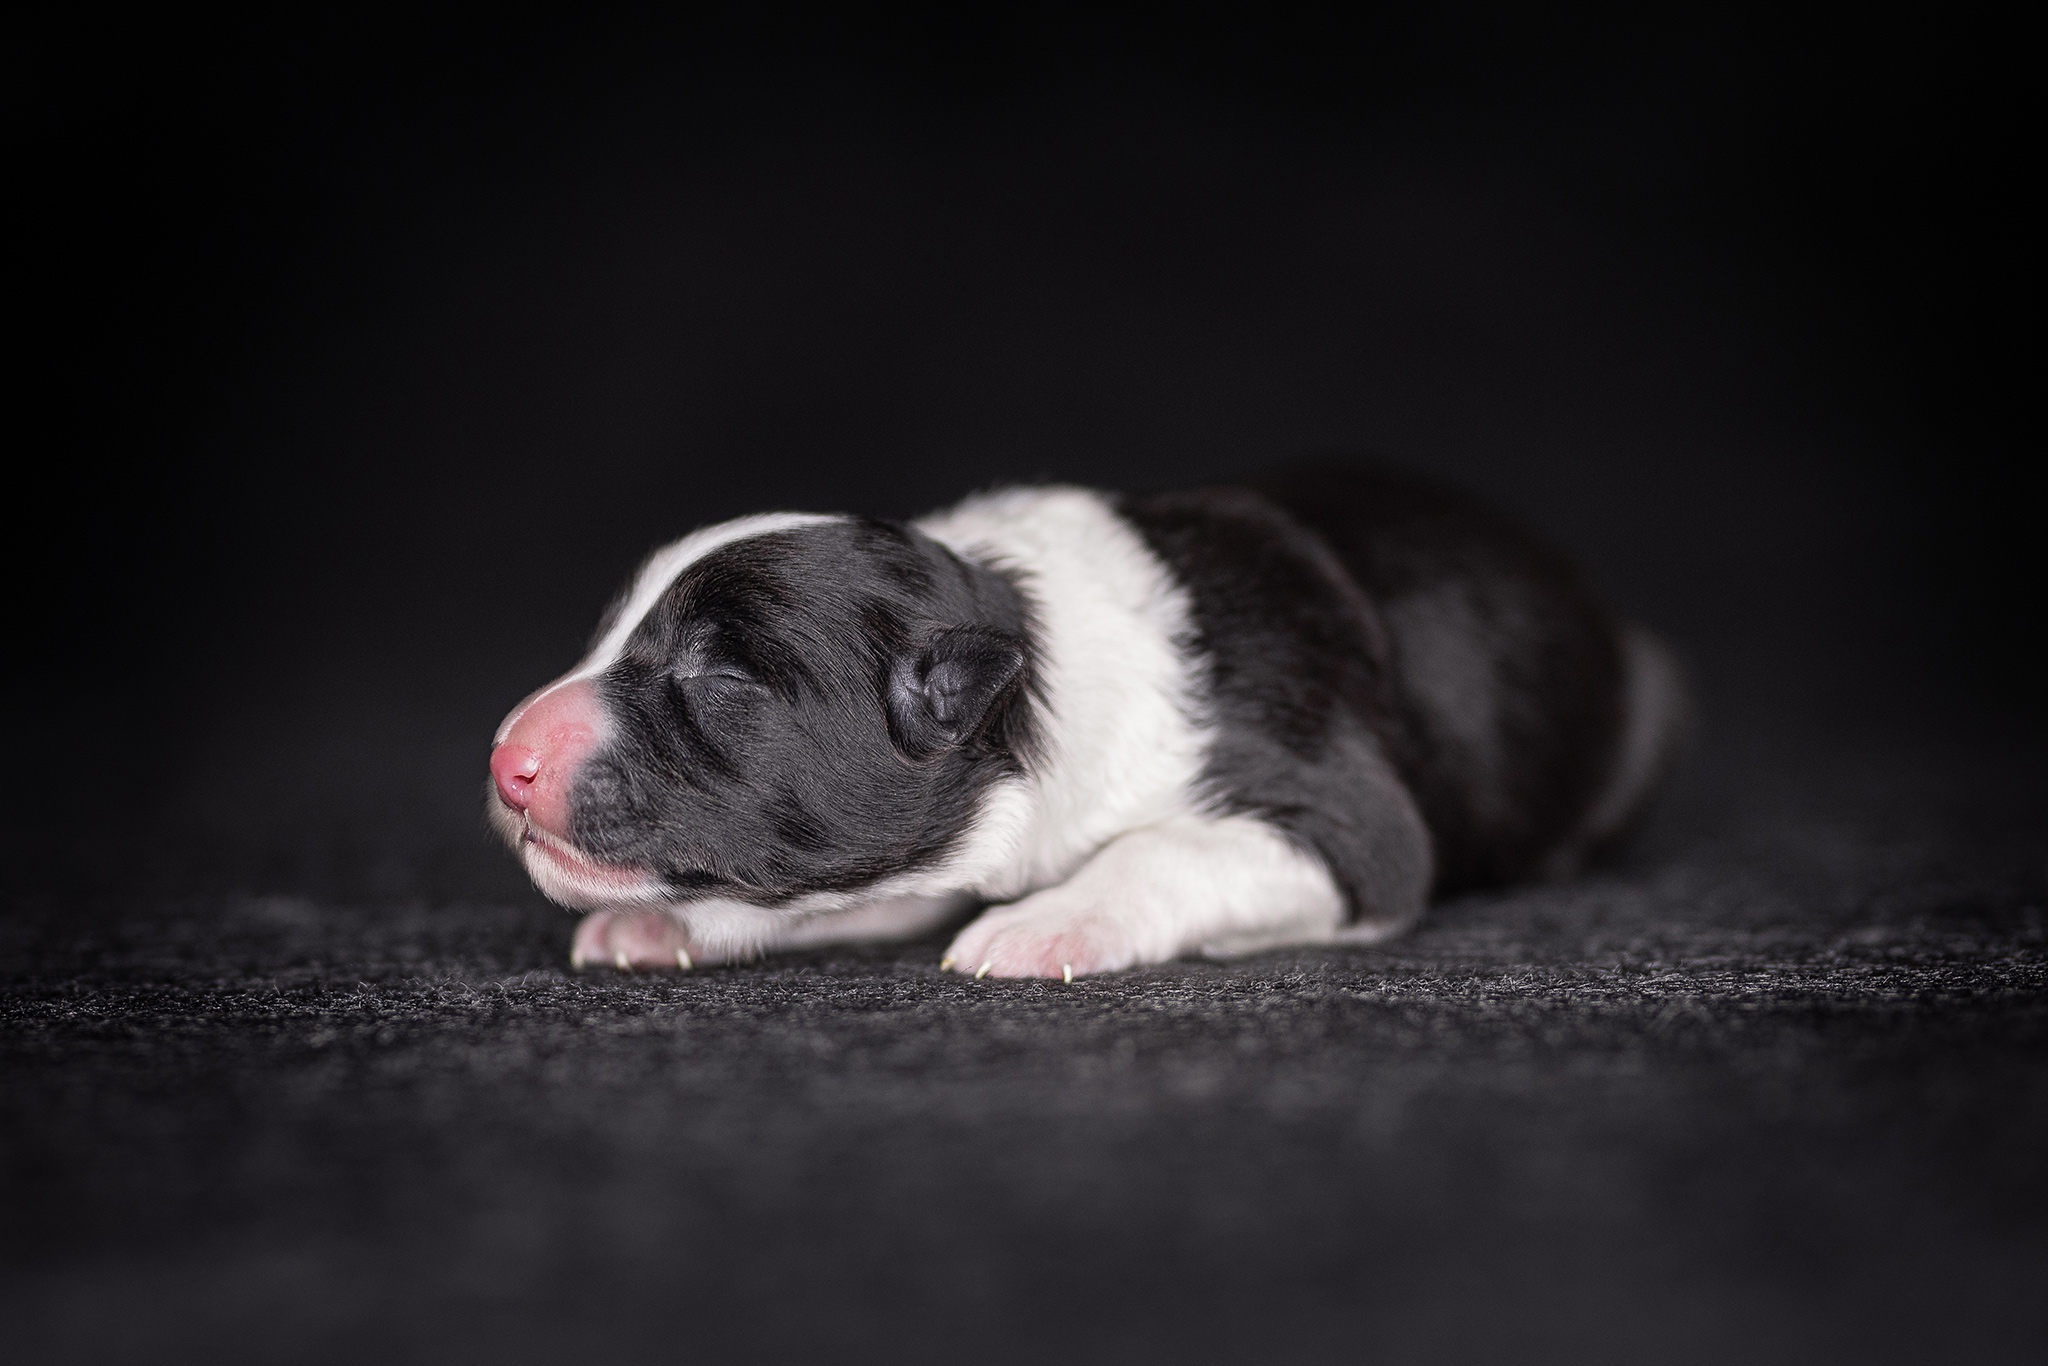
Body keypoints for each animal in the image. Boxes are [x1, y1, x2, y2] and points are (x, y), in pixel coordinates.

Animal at [487, 464, 1687, 978]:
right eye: (609, 632)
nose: (506, 760)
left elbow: (1164, 847)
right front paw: (668, 925)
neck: (1029, 646)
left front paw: (1045, 922)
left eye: (722, 676)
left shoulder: (1345, 819)